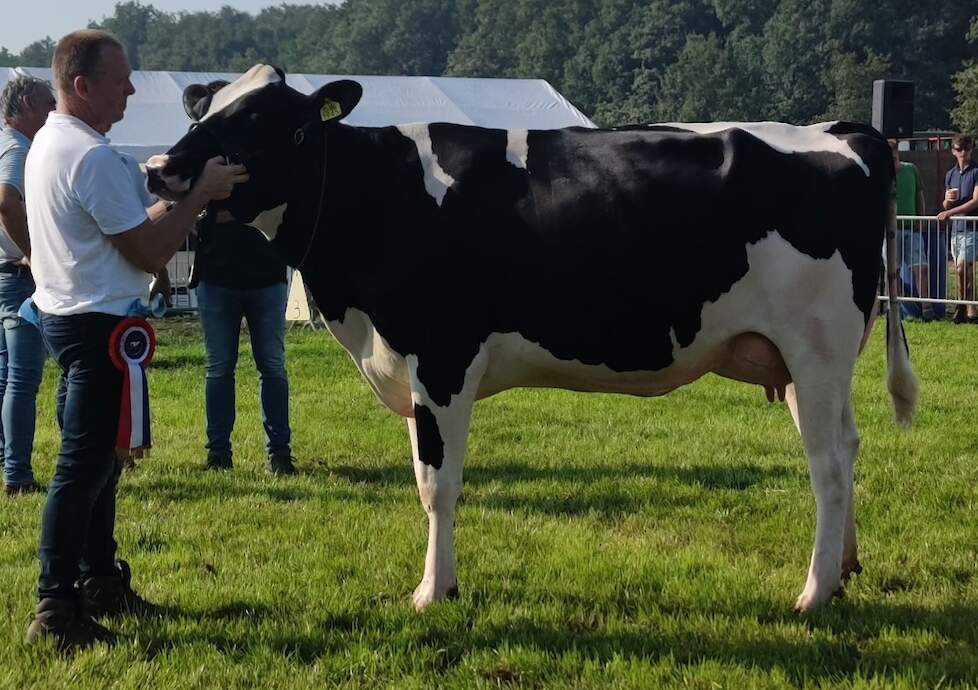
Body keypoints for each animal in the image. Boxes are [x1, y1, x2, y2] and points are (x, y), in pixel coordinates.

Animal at [145, 64, 916, 612]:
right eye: (204, 109)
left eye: (262, 121)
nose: (159, 168)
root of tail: (843, 135)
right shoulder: (410, 367)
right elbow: (424, 479)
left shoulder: (443, 360)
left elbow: (439, 484)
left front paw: (433, 592)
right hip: (808, 360)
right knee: (848, 449)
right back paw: (845, 570)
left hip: (815, 348)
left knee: (826, 465)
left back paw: (813, 592)